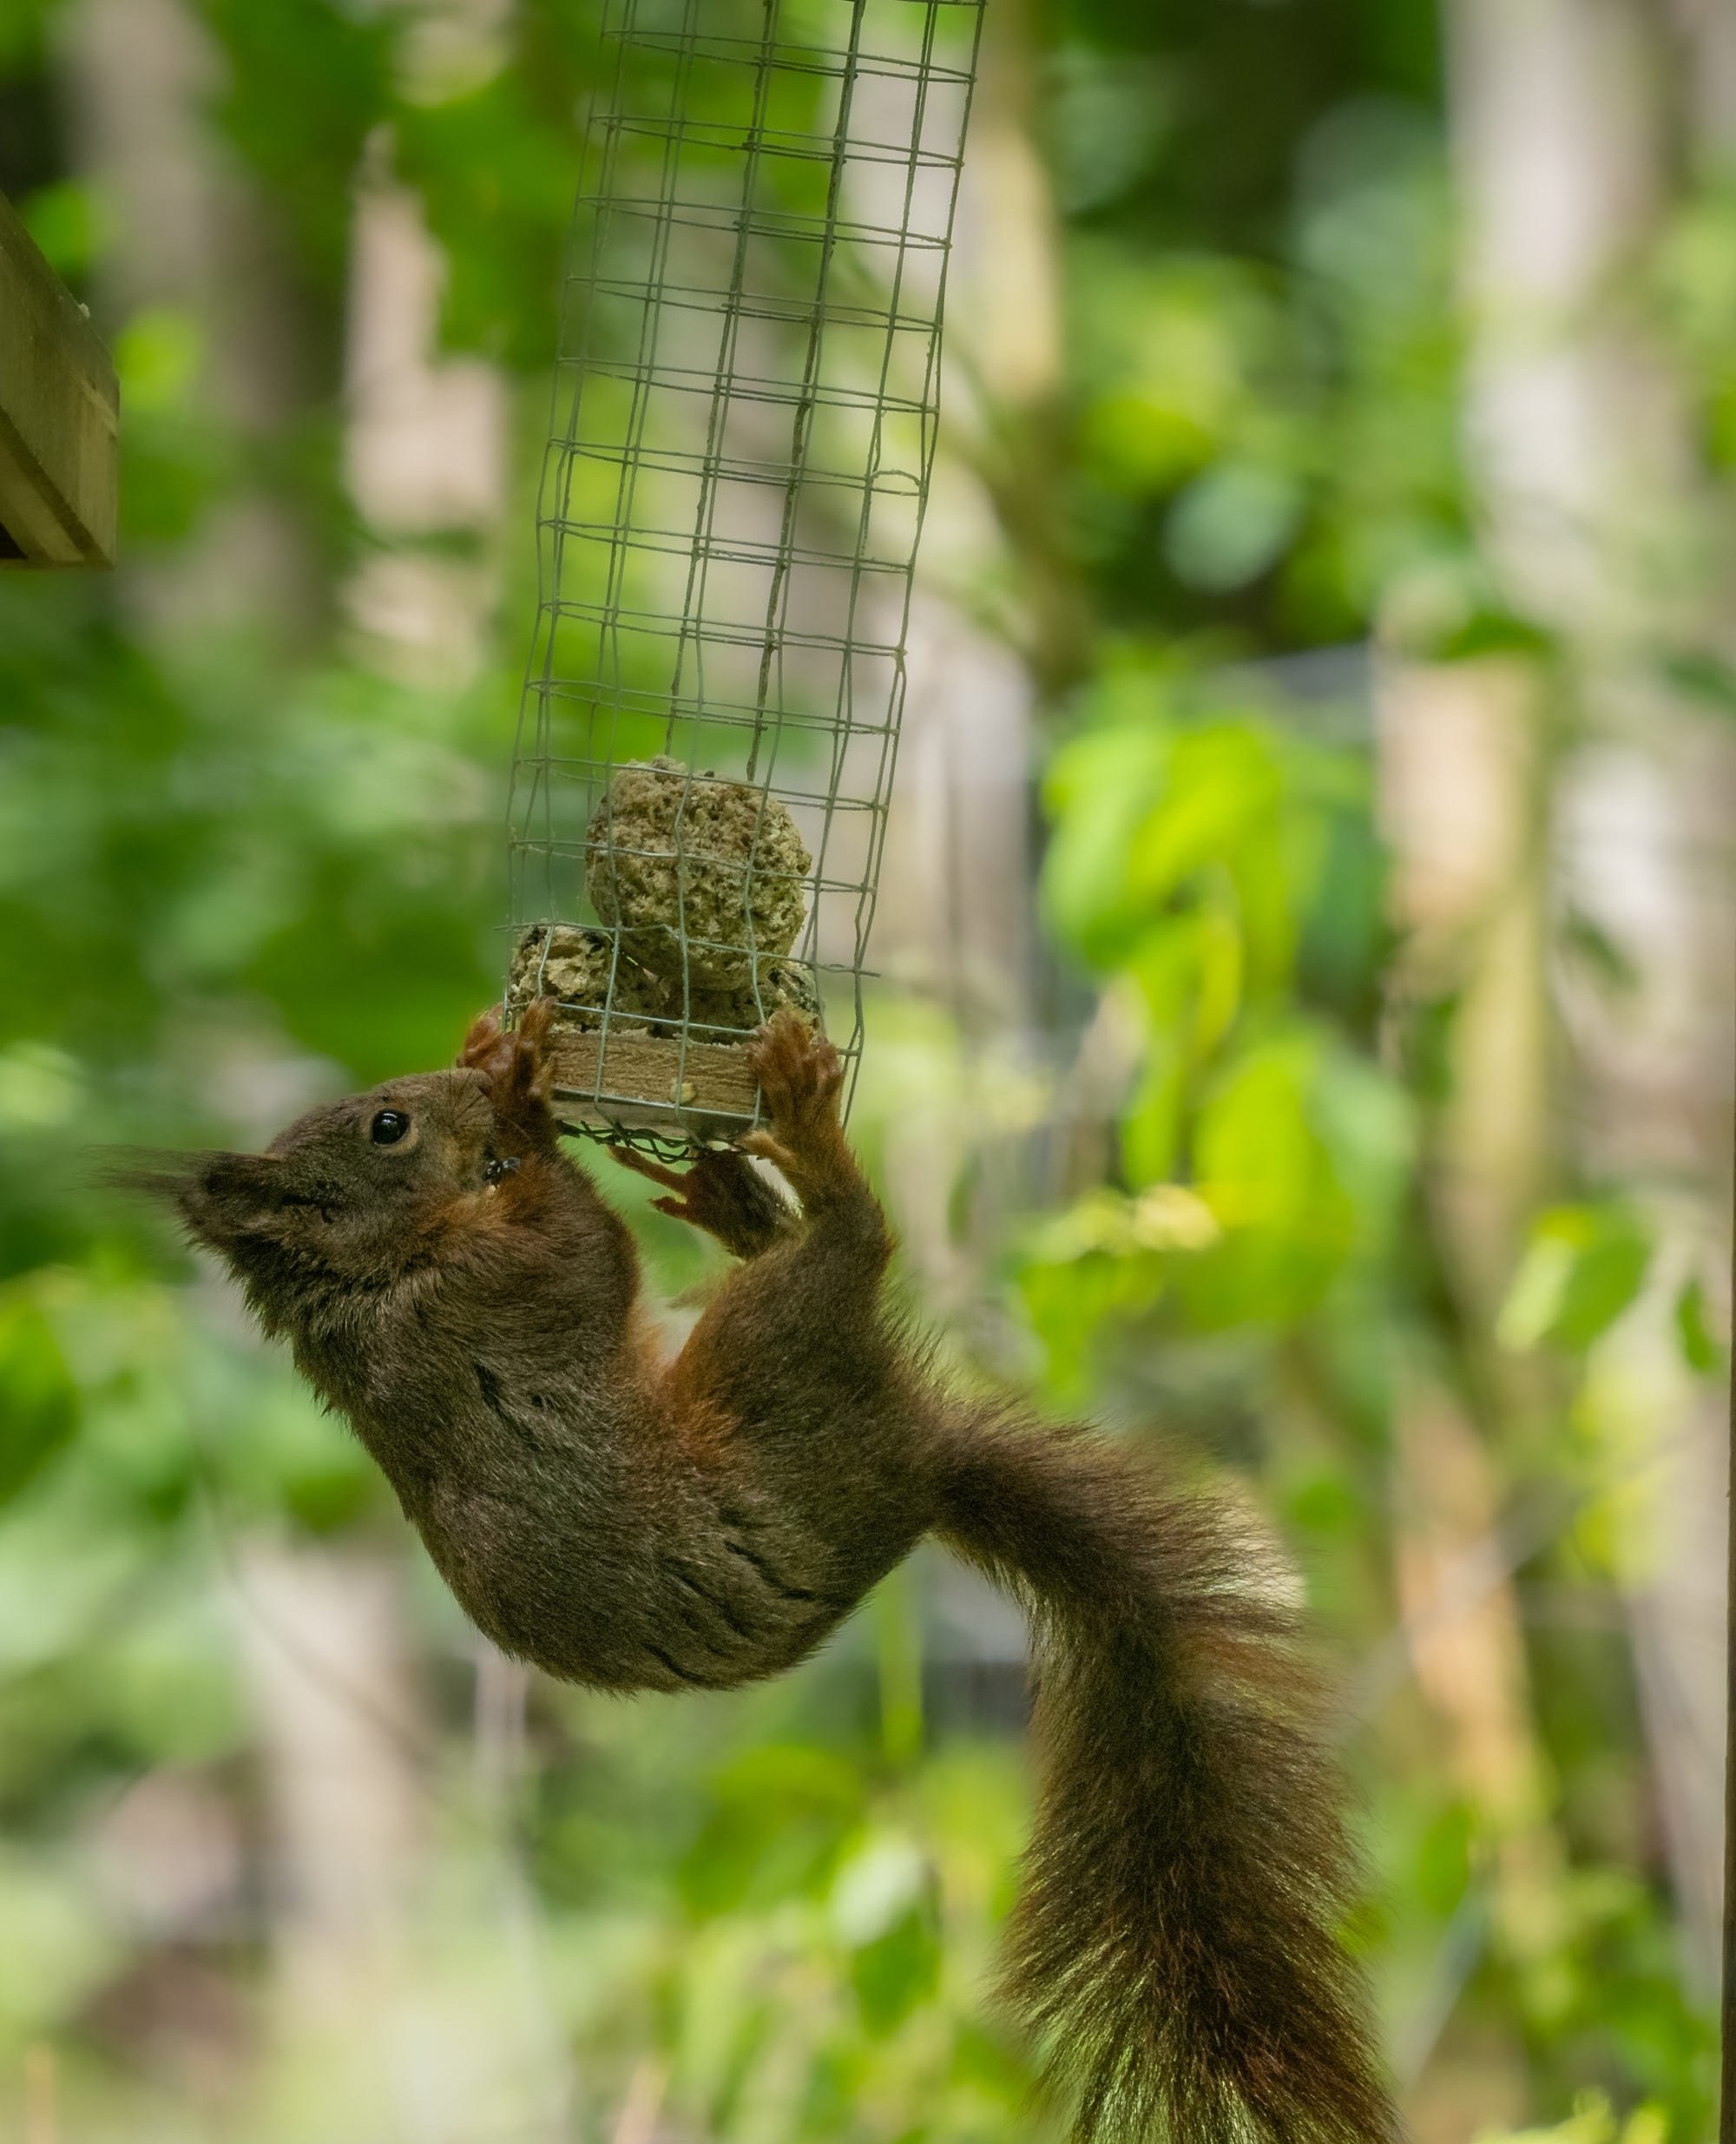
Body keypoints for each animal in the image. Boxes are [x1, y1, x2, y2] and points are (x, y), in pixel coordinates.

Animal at [130, 999, 1397, 2144]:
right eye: (388, 1126)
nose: (464, 1084)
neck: (372, 1279)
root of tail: (917, 1467)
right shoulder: (488, 1291)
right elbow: (577, 1245)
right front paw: (532, 1100)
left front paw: (505, 1047)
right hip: (768, 1360)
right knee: (851, 1246)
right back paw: (806, 1149)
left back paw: (733, 1194)